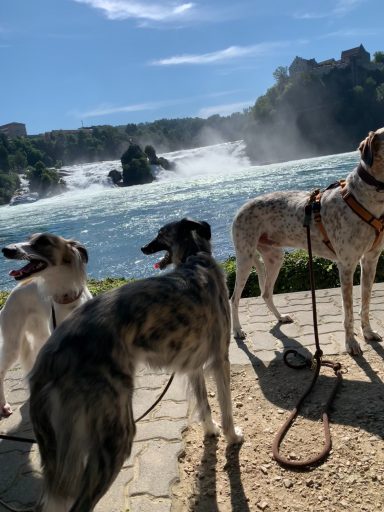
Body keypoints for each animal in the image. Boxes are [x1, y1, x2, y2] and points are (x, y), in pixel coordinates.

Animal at [0, 232, 91, 416]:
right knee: (0, 371)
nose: (5, 249)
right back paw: (4, 405)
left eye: (43, 241)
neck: (68, 299)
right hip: (13, 344)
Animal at [231, 127, 384, 356]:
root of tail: (241, 208)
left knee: (266, 292)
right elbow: (348, 312)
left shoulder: (370, 261)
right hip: (245, 259)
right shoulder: (346, 265)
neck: (365, 199)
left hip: (275, 257)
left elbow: (365, 303)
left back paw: (280, 317)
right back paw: (238, 330)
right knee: (234, 299)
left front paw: (368, 332)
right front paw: (351, 343)